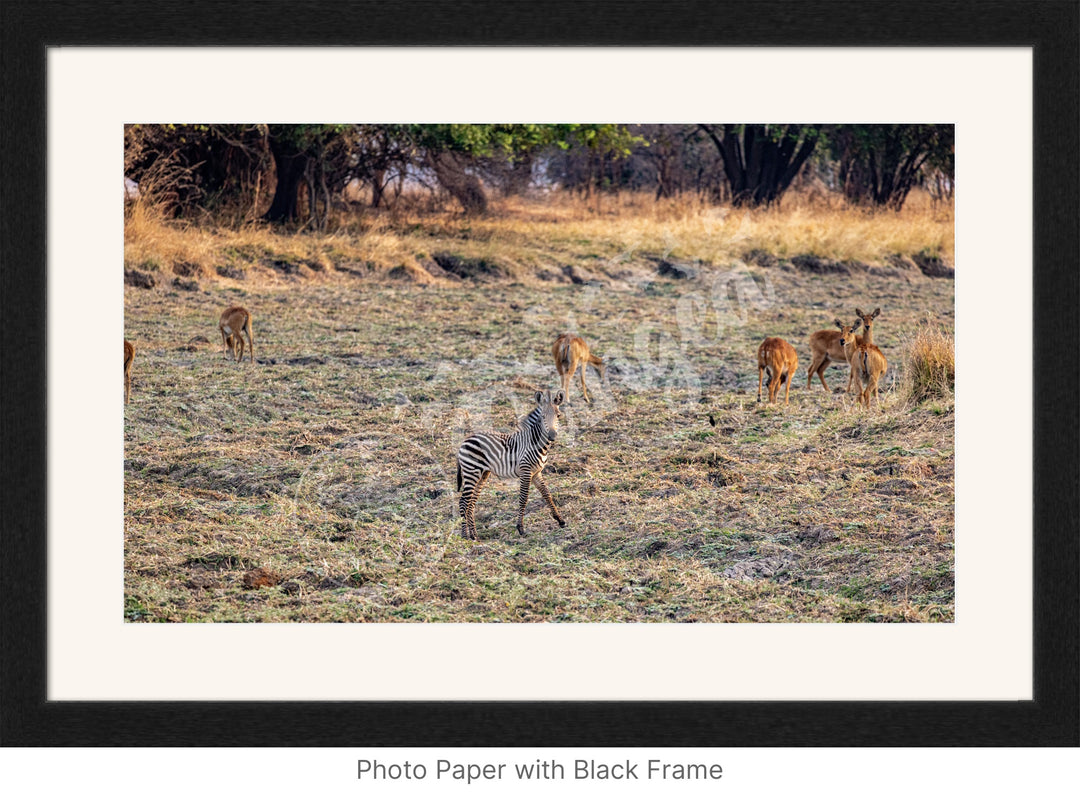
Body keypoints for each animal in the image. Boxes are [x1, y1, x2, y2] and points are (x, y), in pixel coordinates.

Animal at [455, 388, 570, 539]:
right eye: (542, 417)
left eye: (558, 415)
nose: (552, 435)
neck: (535, 443)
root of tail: (465, 440)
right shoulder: (526, 471)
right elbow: (523, 498)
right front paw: (520, 528)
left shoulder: (536, 473)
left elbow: (547, 494)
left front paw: (560, 520)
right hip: (471, 472)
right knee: (463, 501)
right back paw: (465, 535)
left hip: (482, 474)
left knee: (471, 501)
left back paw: (474, 534)